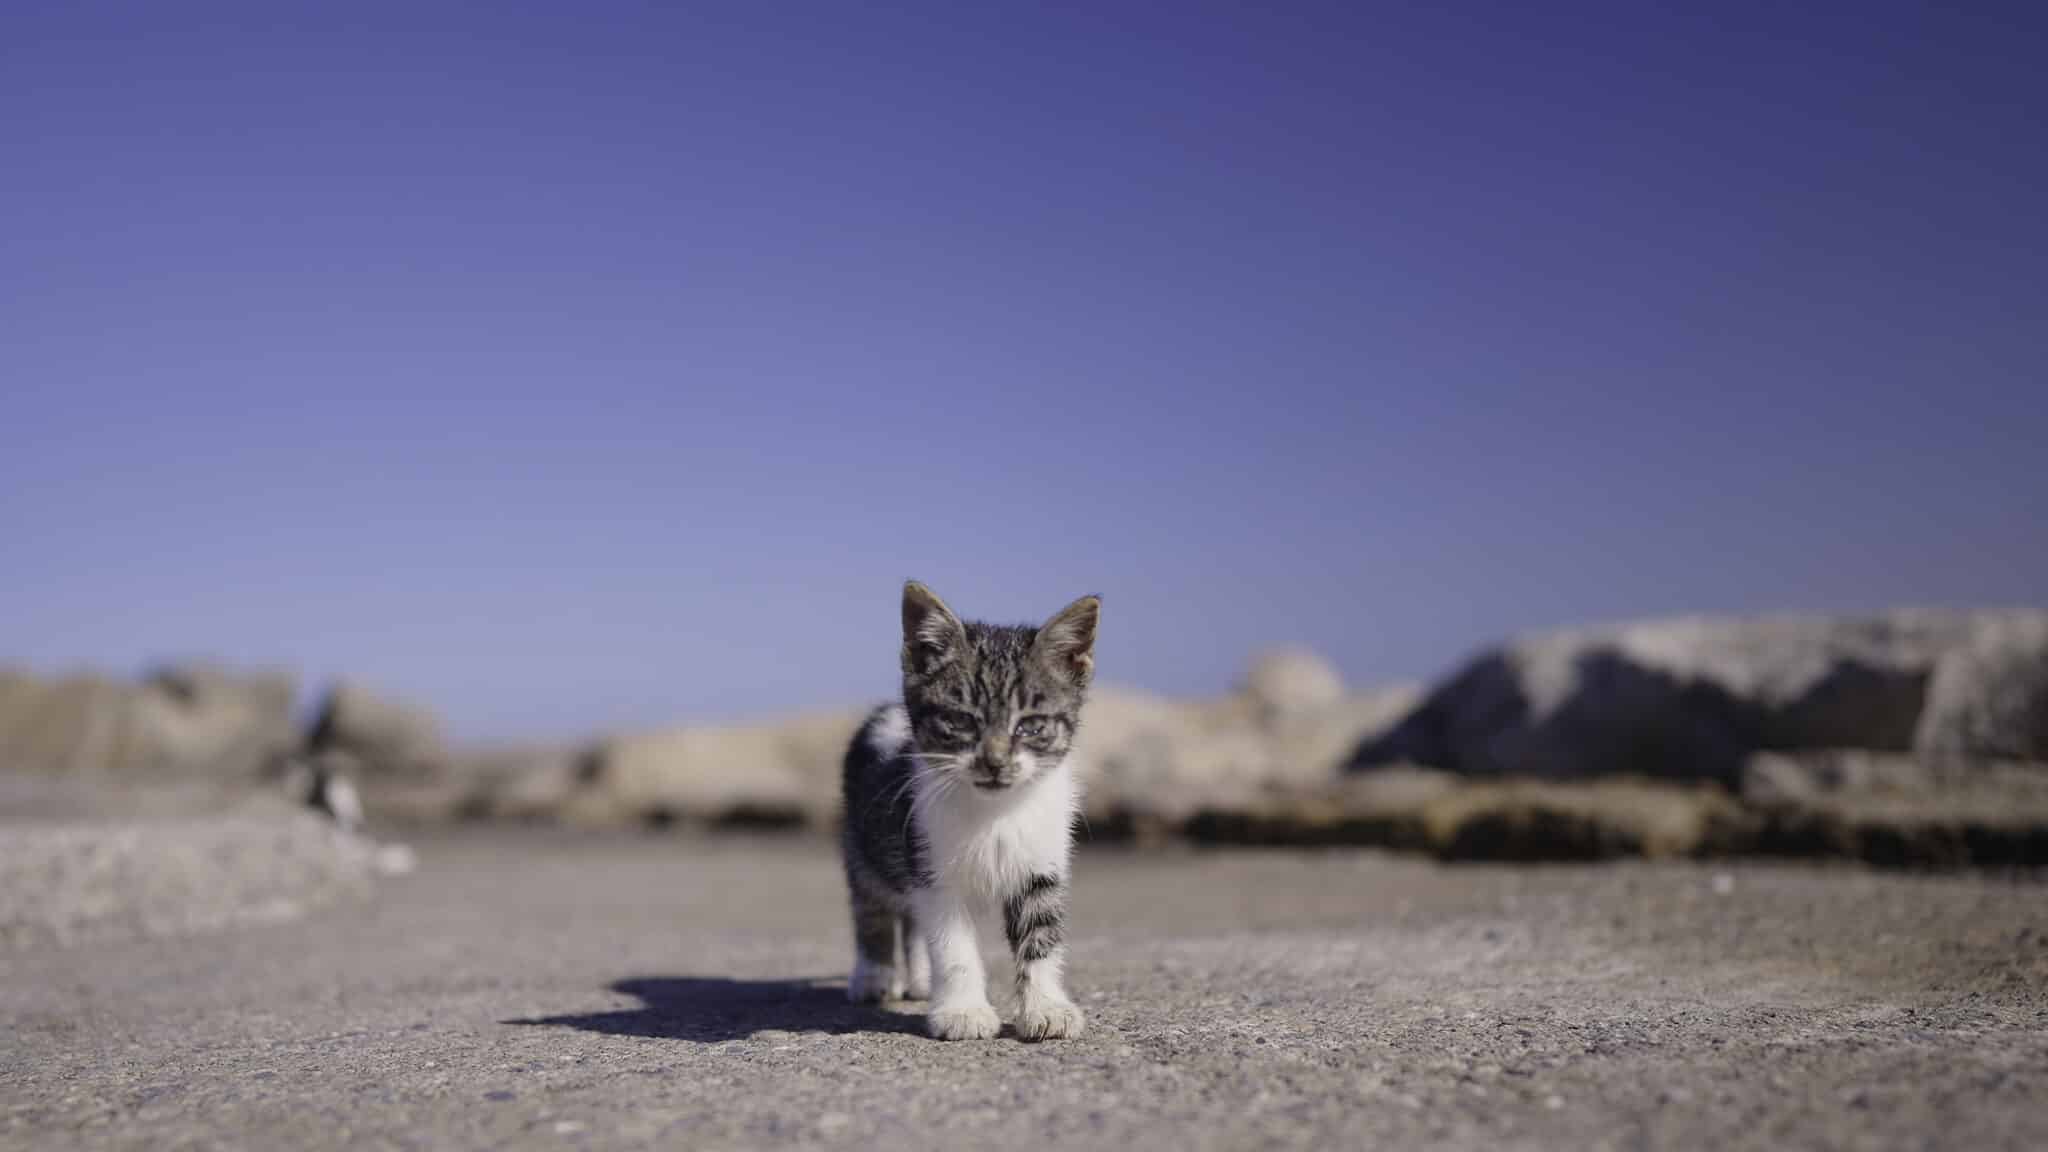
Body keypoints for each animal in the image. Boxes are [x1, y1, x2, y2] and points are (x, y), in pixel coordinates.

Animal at [835, 578, 1097, 1037]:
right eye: (961, 721)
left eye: (1031, 725)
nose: (994, 761)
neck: (995, 812)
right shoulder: (932, 867)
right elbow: (952, 946)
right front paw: (963, 1012)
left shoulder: (1042, 864)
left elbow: (1041, 936)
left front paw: (1046, 1007)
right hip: (864, 845)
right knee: (872, 909)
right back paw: (874, 976)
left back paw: (920, 981)